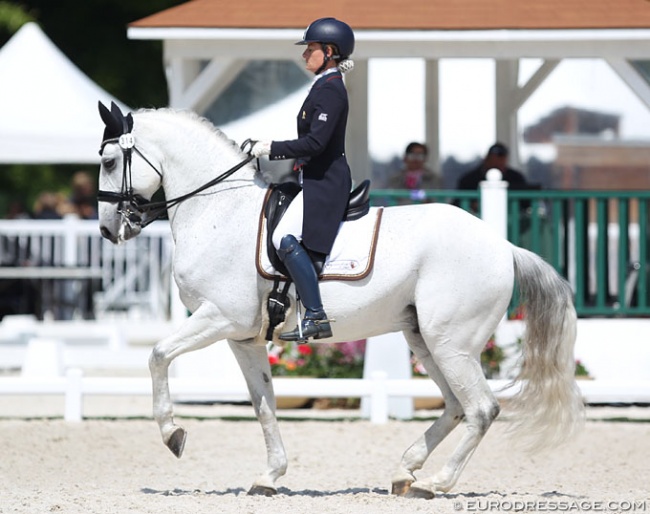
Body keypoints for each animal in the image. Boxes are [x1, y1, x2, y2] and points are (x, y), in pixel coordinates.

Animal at [96, 102, 584, 498]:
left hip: (453, 343)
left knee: (482, 408)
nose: (108, 229)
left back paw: (436, 483)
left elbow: (158, 355)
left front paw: (172, 434)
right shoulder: (243, 337)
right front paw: (269, 476)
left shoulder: (219, 318)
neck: (220, 212)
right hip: (425, 338)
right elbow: (263, 404)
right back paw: (406, 470)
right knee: (455, 404)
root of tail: (503, 246)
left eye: (107, 160)